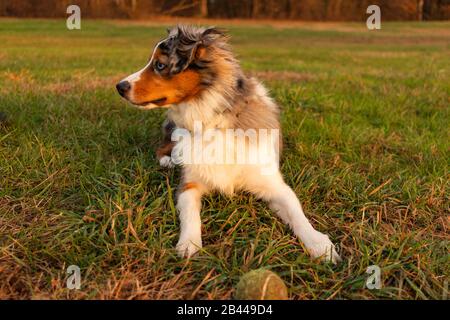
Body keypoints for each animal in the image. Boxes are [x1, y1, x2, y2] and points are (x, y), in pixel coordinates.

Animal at [116, 25, 342, 264]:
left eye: (159, 65)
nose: (119, 86)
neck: (210, 122)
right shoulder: (189, 184)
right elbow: (189, 213)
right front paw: (189, 244)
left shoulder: (273, 184)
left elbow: (295, 211)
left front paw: (319, 244)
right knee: (163, 147)